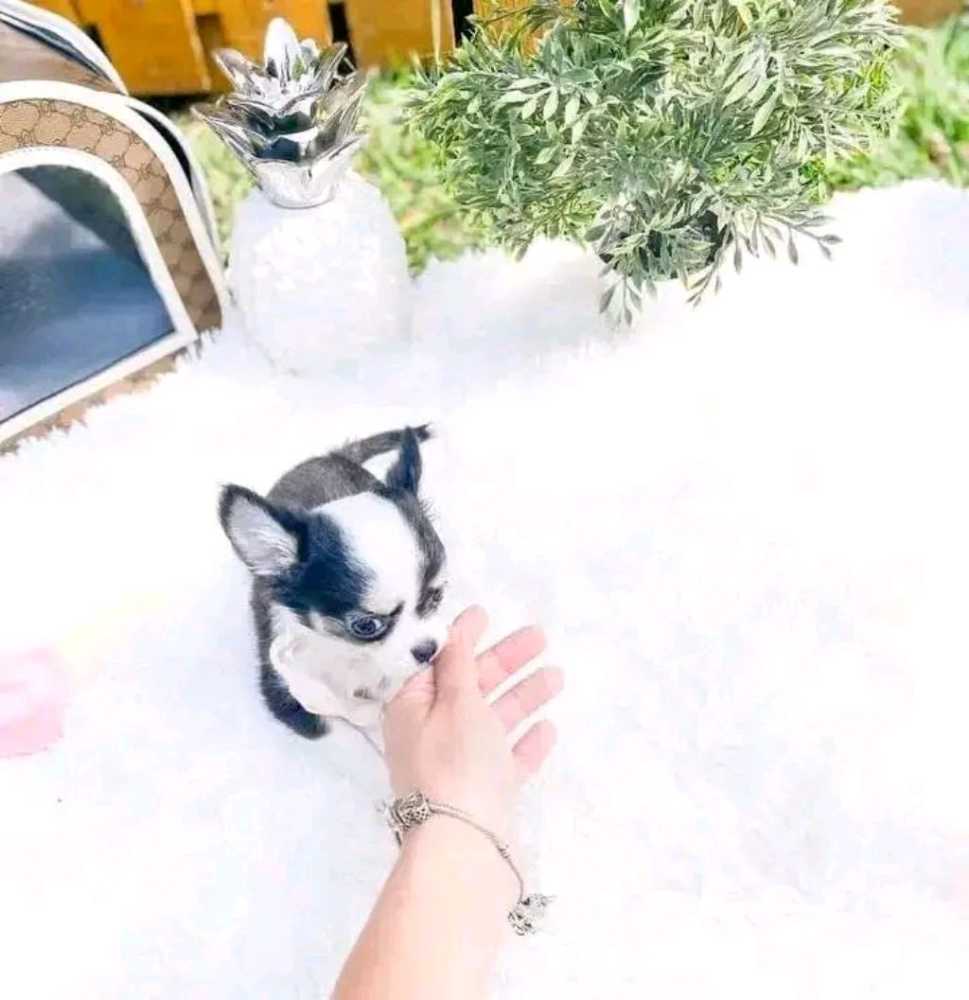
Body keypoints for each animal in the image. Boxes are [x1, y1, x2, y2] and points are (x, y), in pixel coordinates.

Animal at [218, 426, 448, 739]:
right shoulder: (292, 697)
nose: (428, 650)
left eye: (437, 597)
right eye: (366, 626)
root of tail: (330, 455)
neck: (349, 653)